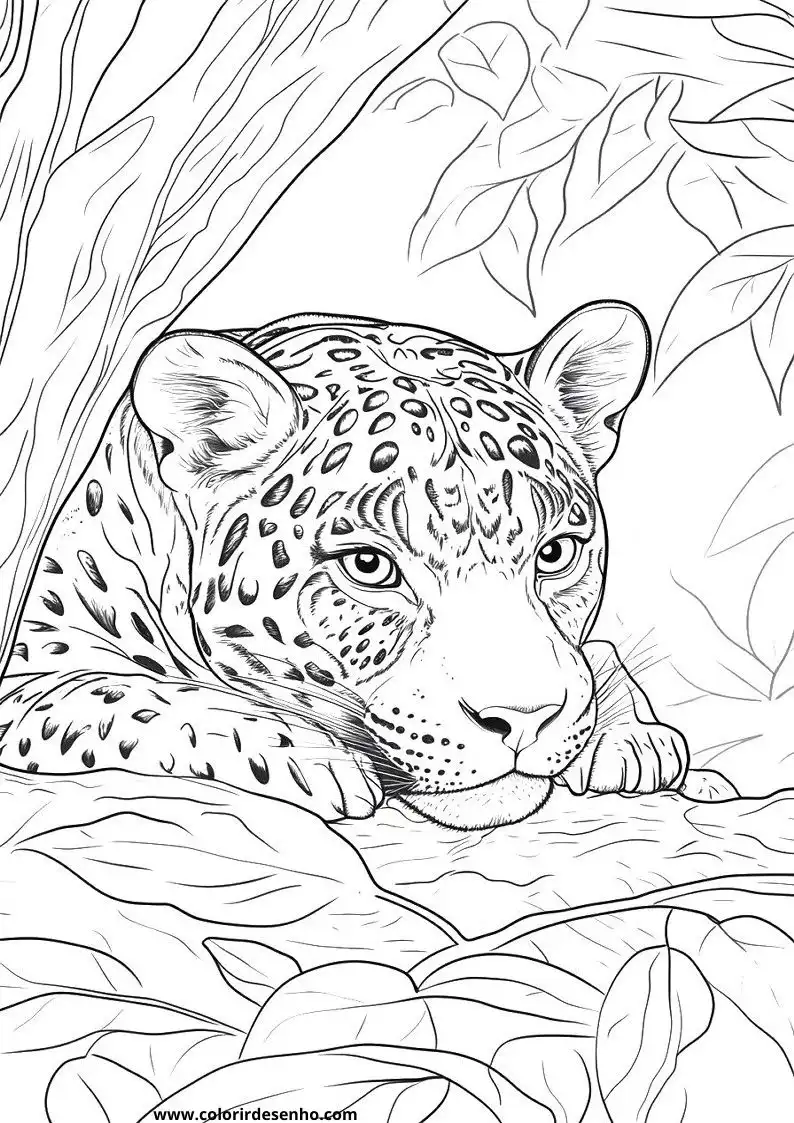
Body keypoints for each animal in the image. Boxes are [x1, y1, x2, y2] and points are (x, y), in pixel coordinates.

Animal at [0, 301, 733, 830]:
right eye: (368, 566)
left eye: (554, 552)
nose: (522, 719)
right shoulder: (30, 674)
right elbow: (127, 695)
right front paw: (311, 757)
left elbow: (596, 658)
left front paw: (635, 739)